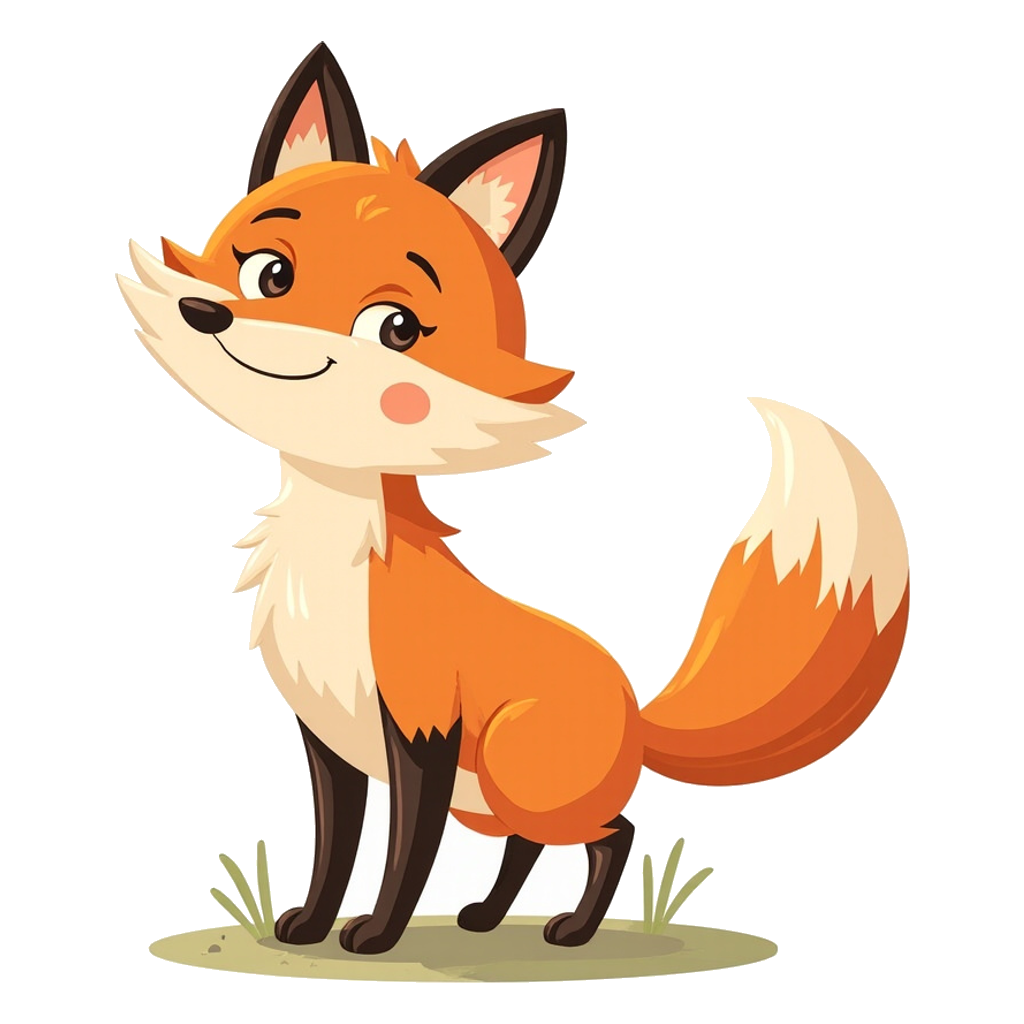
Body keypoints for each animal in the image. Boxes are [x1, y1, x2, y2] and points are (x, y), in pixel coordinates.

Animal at [118, 43, 909, 955]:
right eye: (269, 273)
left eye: (394, 329)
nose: (220, 321)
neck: (333, 572)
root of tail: (636, 708)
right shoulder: (327, 737)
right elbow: (334, 844)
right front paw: (310, 925)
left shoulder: (423, 733)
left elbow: (403, 851)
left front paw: (376, 935)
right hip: (489, 796)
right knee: (531, 845)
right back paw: (489, 918)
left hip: (508, 764)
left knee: (615, 834)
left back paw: (570, 930)